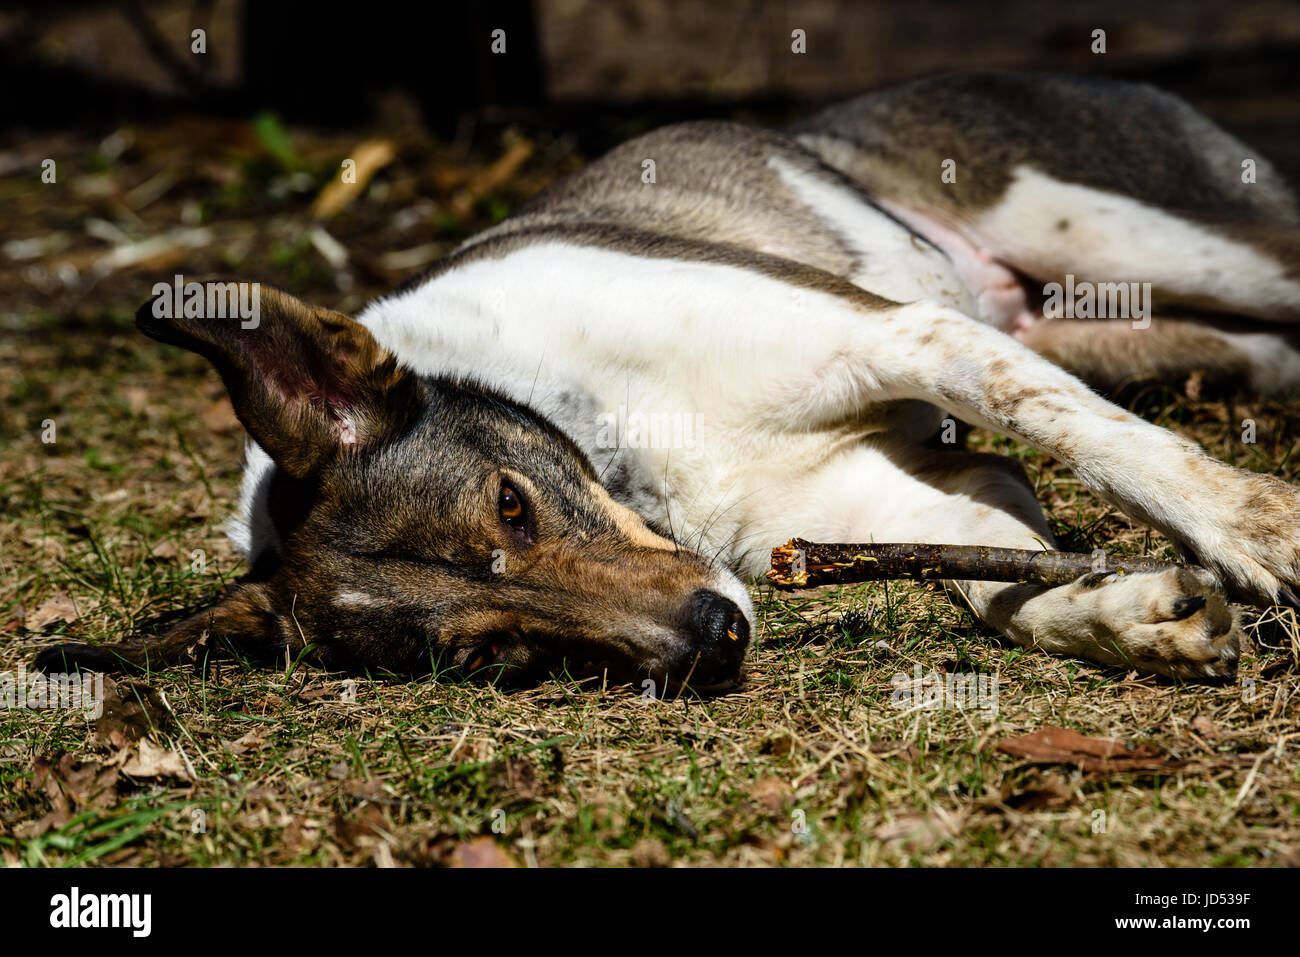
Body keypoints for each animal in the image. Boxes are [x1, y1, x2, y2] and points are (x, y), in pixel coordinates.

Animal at [32, 72, 1300, 686]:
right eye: (496, 654)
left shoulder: (906, 337)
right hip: (1159, 328)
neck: (624, 439)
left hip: (1144, 232)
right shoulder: (882, 500)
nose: (714, 639)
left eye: (510, 502)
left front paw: (1257, 526)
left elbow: (1101, 443)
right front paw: (1135, 619)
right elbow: (1003, 579)